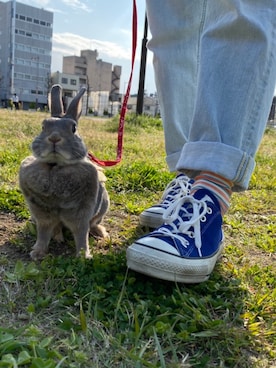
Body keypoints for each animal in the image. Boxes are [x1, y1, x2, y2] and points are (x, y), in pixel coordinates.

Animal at [18, 85, 109, 260]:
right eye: (43, 126)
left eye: (73, 128)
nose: (54, 138)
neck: (55, 166)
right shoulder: (42, 212)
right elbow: (43, 233)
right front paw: (37, 253)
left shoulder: (81, 212)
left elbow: (81, 234)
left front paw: (83, 256)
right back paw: (58, 236)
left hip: (103, 206)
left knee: (94, 223)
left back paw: (101, 233)